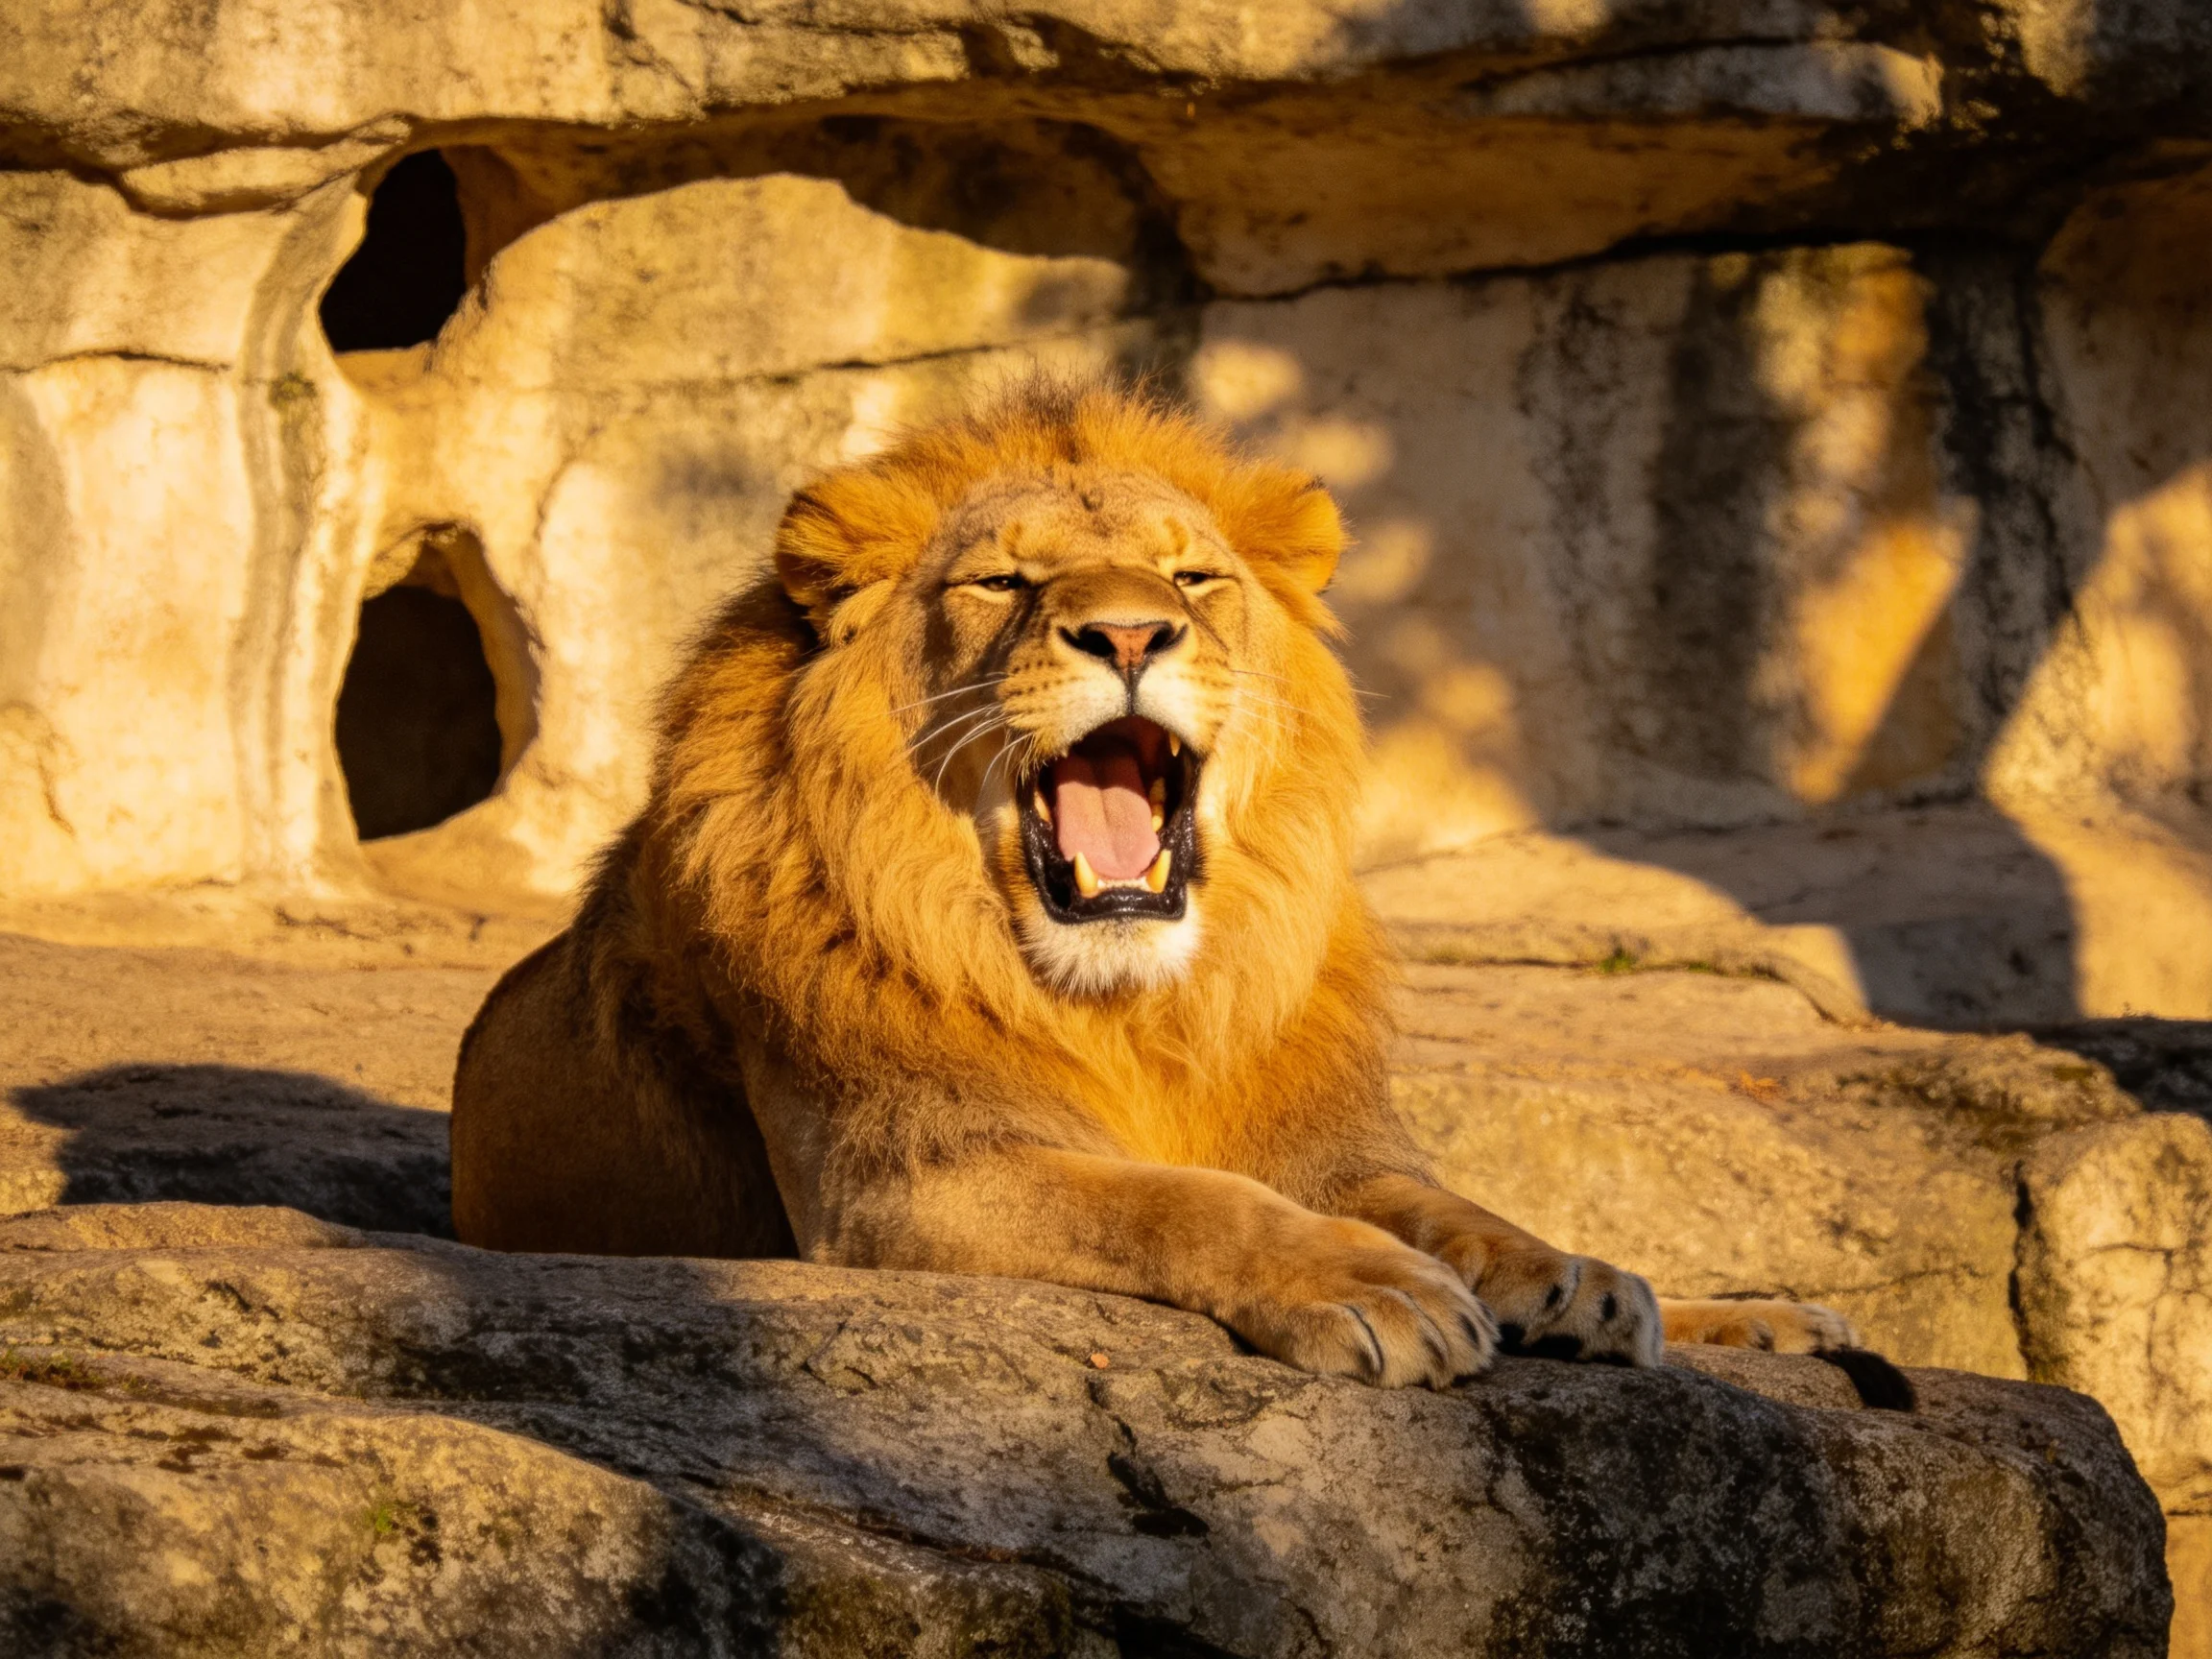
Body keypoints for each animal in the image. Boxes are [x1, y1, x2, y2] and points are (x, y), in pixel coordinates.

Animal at [451, 380, 1892, 1393]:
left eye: (1192, 577)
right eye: (1005, 581)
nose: (1133, 631)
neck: (1136, 1001)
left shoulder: (1318, 1141)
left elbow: (1446, 1204)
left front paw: (1563, 1275)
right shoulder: (899, 1178)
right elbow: (1174, 1197)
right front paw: (1377, 1290)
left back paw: (1763, 1320)